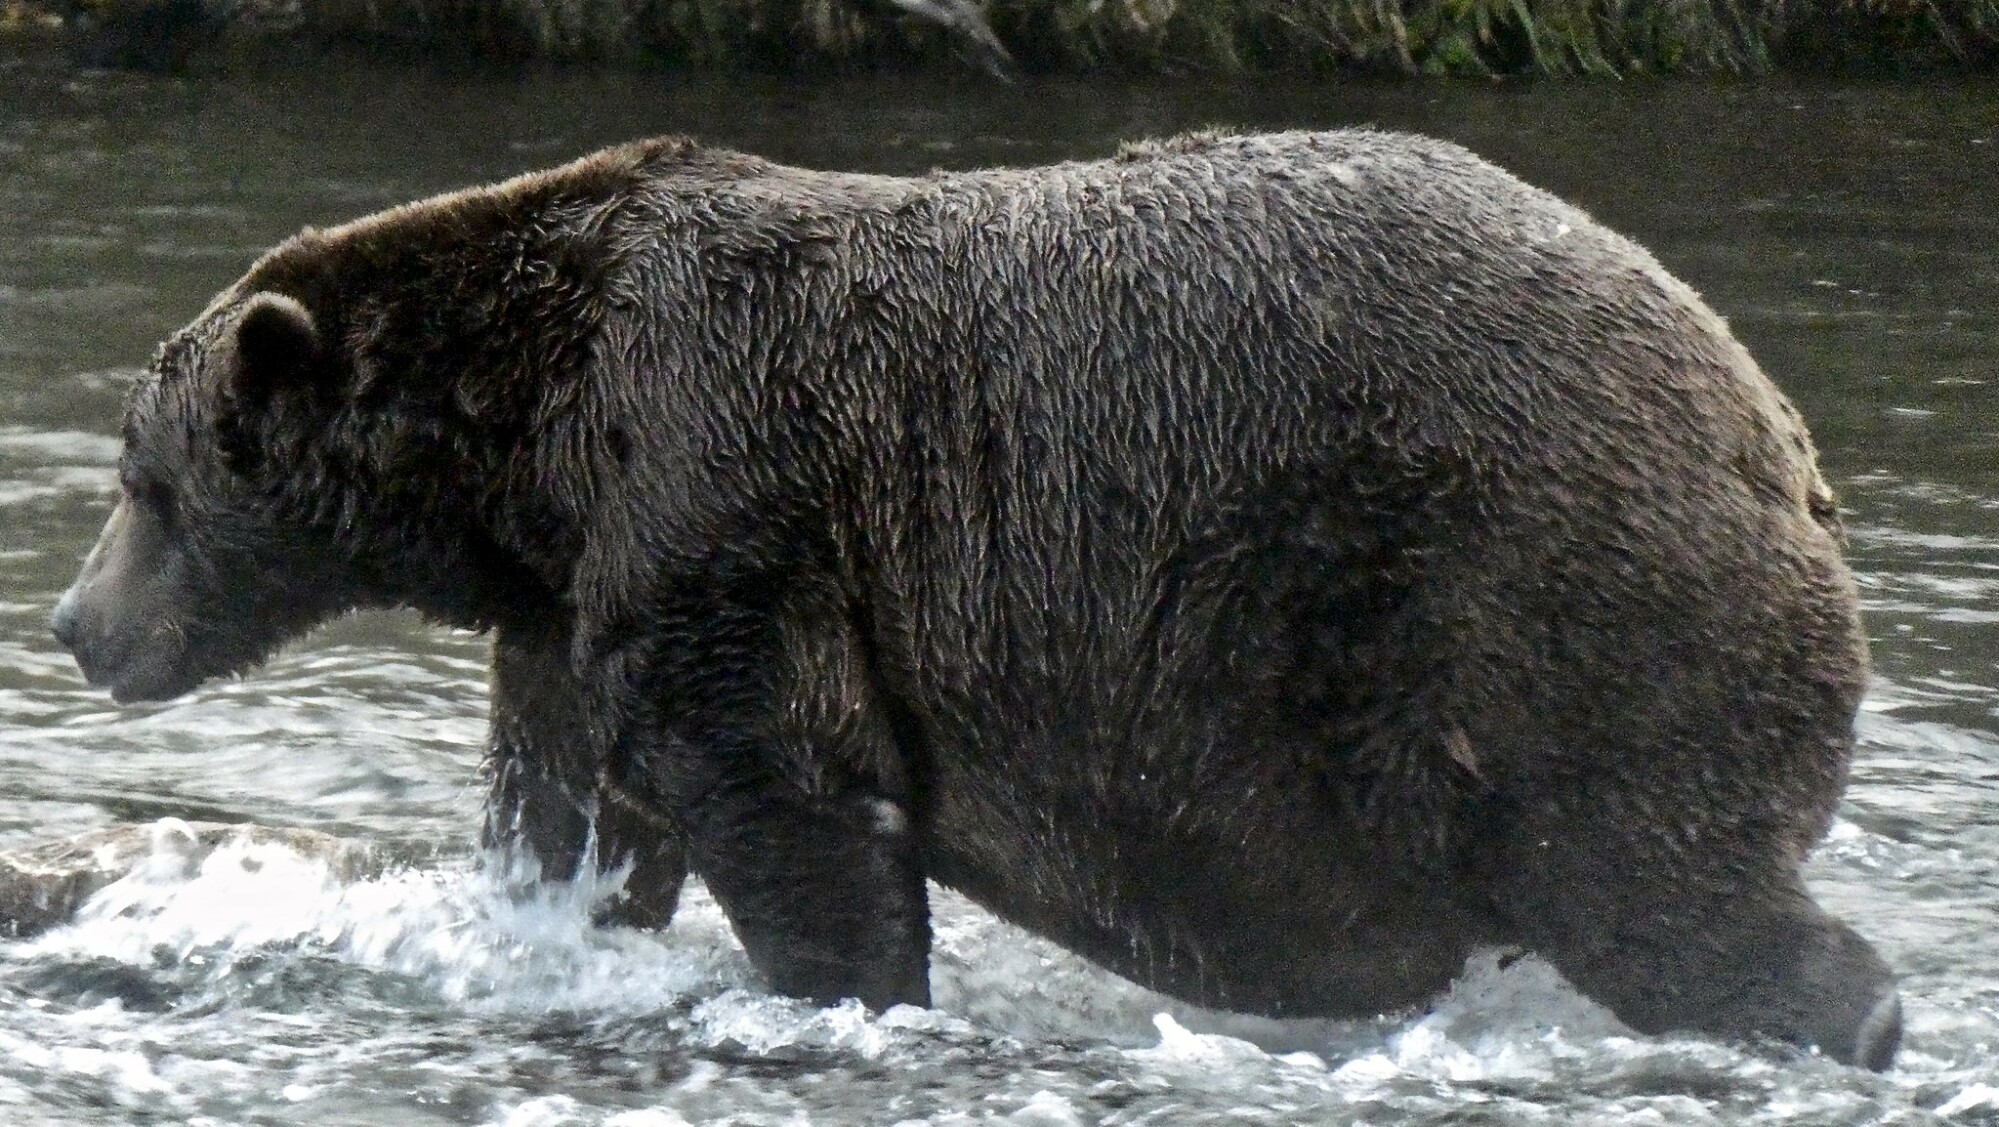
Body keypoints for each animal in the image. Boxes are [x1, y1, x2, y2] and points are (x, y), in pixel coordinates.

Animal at [42, 129, 1887, 1063]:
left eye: (143, 478)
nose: (70, 622)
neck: (530, 436)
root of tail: (1777, 442)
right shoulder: (575, 591)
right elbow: (568, 799)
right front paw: (532, 914)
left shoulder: (722, 486)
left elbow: (779, 785)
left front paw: (838, 988)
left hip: (1546, 610)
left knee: (1650, 888)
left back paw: (1838, 1012)